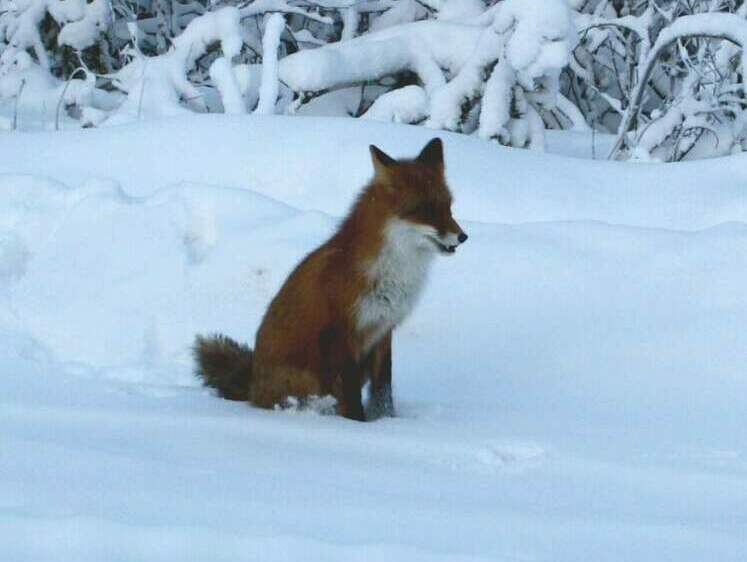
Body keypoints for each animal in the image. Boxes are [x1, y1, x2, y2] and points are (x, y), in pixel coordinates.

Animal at [196, 138, 470, 420]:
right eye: (425, 210)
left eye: (448, 207)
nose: (463, 237)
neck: (390, 273)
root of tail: (251, 388)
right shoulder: (342, 333)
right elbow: (350, 395)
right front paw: (356, 425)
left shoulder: (383, 330)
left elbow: (383, 390)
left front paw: (387, 422)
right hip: (307, 380)